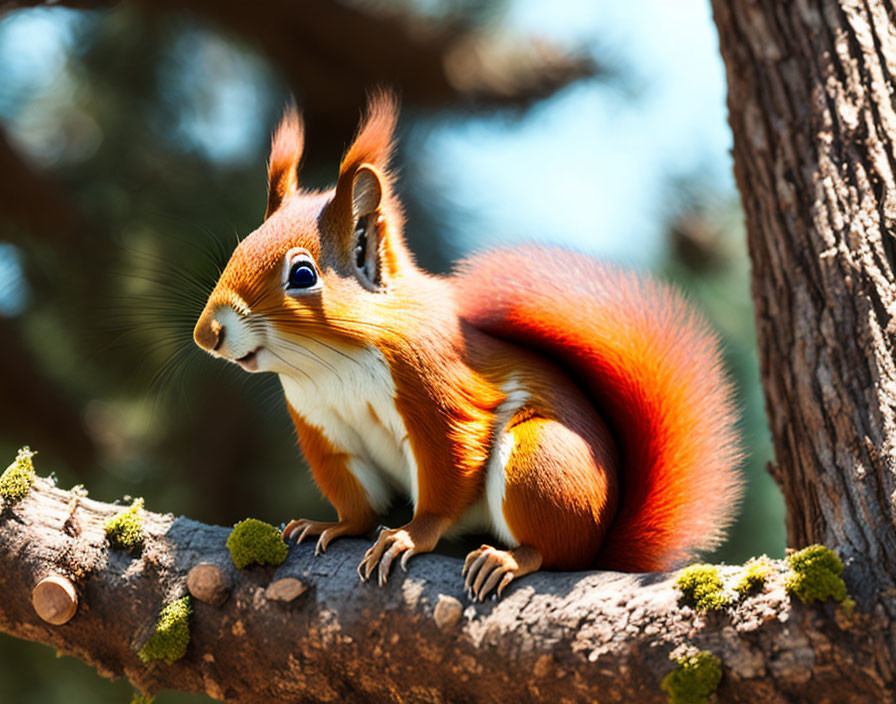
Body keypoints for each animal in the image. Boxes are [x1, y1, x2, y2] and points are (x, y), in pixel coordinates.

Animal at [194, 92, 744, 600]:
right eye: (242, 247)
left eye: (303, 275)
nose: (207, 335)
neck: (329, 367)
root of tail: (602, 547)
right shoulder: (323, 428)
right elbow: (355, 500)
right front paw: (332, 525)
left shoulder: (436, 391)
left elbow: (447, 475)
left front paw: (409, 537)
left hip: (539, 462)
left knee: (553, 552)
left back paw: (509, 559)